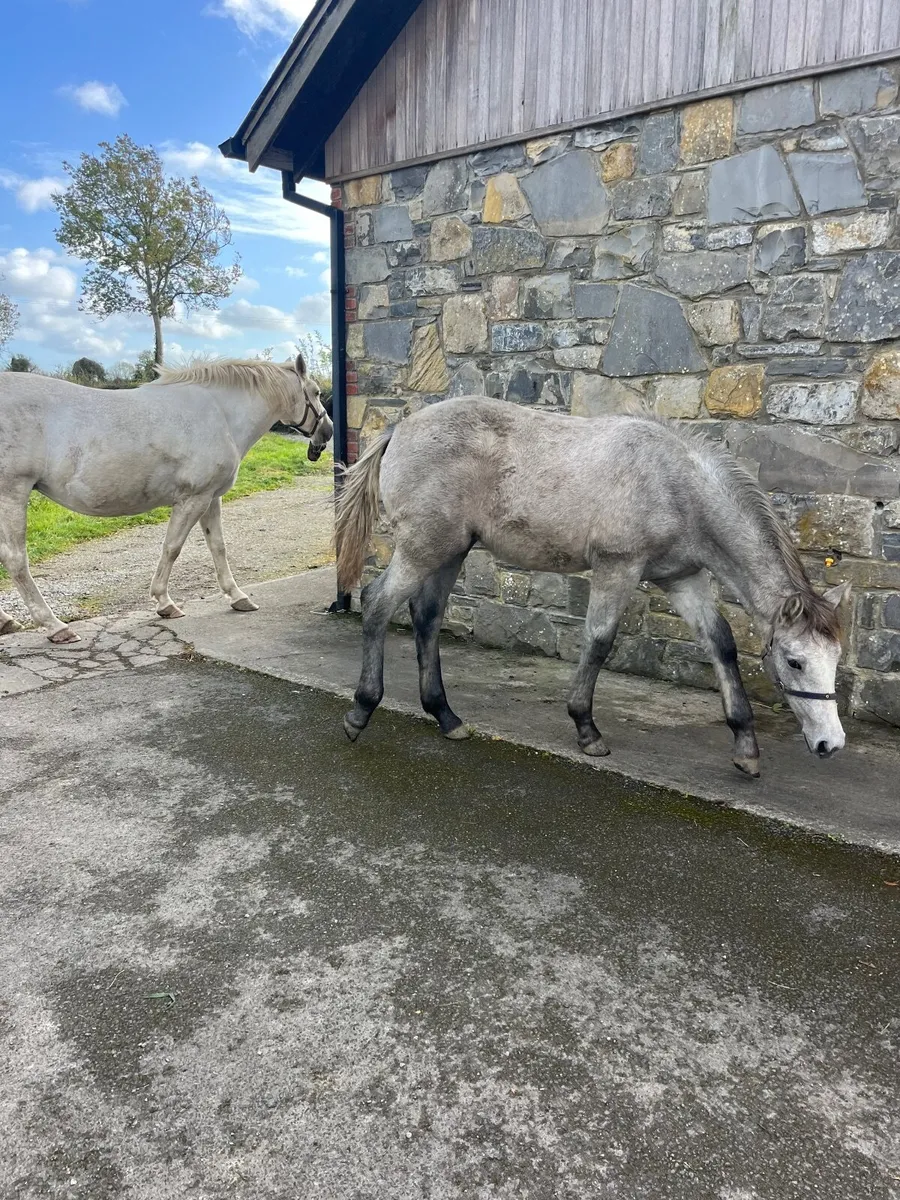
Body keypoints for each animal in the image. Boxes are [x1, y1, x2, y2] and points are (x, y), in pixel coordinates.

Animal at [0, 355, 332, 642]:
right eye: (316, 392)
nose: (327, 432)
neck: (220, 413)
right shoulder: (193, 499)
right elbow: (172, 548)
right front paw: (164, 602)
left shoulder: (210, 498)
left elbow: (218, 547)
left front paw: (237, 596)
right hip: (12, 493)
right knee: (16, 560)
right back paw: (55, 626)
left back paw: (8, 621)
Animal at [335, 397, 851, 777]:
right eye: (795, 661)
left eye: (835, 660)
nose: (831, 743)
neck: (675, 484)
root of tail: (399, 429)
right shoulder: (617, 568)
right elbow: (600, 641)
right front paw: (586, 729)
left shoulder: (681, 578)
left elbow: (720, 642)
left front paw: (745, 745)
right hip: (424, 547)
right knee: (377, 603)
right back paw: (361, 711)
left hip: (451, 550)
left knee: (427, 617)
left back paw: (446, 716)